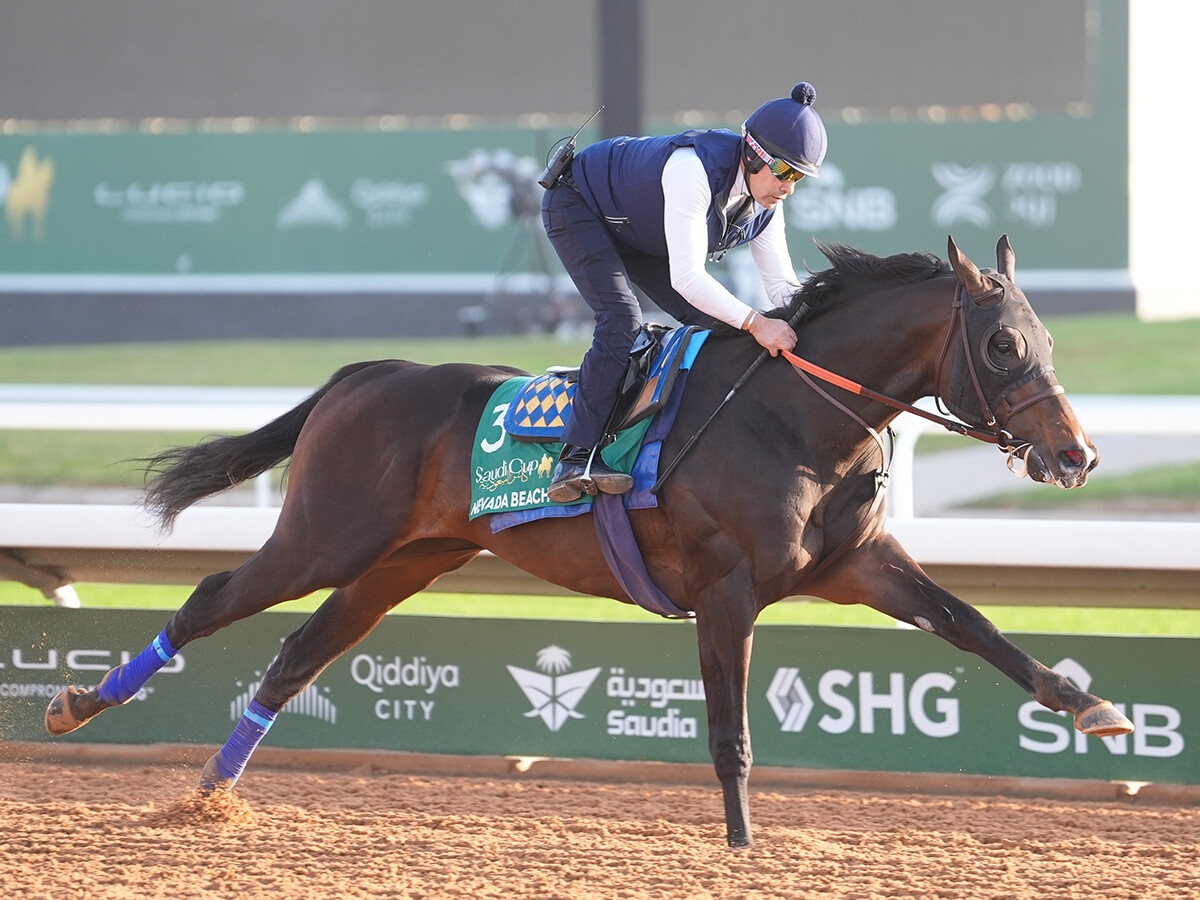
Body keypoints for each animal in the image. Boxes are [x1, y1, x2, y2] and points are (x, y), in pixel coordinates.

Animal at [46, 235, 1135, 848]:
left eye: (1044, 339)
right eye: (1002, 344)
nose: (1077, 455)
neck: (792, 417)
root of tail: (365, 373)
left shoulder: (857, 564)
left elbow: (973, 625)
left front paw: (1093, 708)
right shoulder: (727, 587)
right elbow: (731, 730)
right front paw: (742, 846)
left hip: (399, 564)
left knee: (293, 658)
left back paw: (207, 804)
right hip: (326, 538)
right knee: (211, 599)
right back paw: (77, 706)